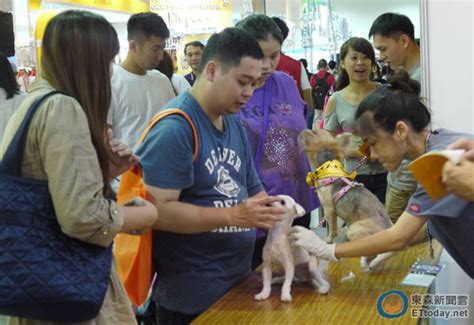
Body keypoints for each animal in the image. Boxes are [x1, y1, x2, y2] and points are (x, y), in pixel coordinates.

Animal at [300, 128, 392, 270]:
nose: (315, 128)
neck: (330, 171)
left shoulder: (329, 209)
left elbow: (332, 228)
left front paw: (328, 240)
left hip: (354, 230)